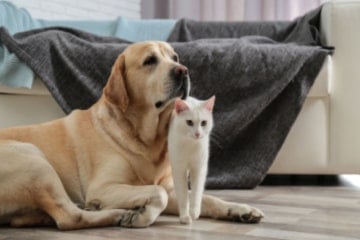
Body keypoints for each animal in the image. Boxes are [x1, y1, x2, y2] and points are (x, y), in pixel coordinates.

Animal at [167, 95, 215, 225]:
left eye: (203, 123)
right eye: (189, 122)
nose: (197, 134)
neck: (190, 144)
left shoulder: (199, 168)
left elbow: (196, 191)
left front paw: (194, 212)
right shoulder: (179, 169)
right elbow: (183, 194)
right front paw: (184, 216)